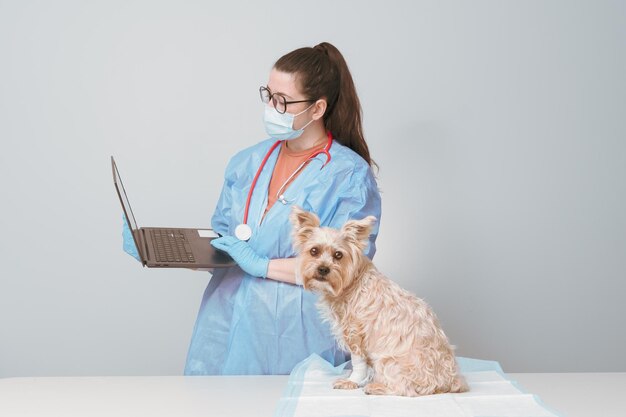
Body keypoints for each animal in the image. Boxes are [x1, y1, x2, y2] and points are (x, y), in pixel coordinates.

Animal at [290, 205, 466, 396]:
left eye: (338, 255)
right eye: (314, 251)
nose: (323, 269)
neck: (352, 281)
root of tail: (448, 382)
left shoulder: (354, 332)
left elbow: (358, 362)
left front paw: (352, 382)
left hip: (388, 360)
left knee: (404, 388)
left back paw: (377, 386)